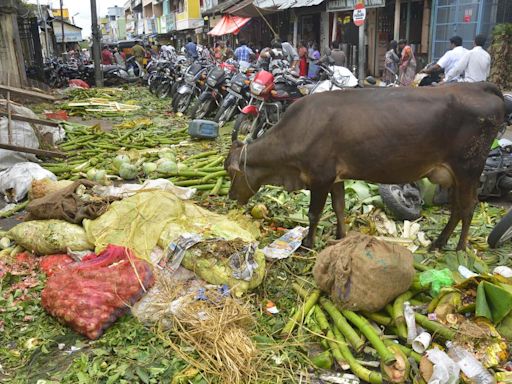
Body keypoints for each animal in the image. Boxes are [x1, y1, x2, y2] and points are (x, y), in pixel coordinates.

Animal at [226, 83, 506, 250]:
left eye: (230, 171)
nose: (229, 197)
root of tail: (480, 86)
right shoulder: (336, 178)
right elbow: (339, 208)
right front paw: (340, 237)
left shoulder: (320, 178)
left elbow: (314, 213)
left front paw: (307, 243)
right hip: (455, 175)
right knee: (457, 208)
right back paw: (438, 243)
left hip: (468, 169)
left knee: (468, 208)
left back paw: (459, 249)